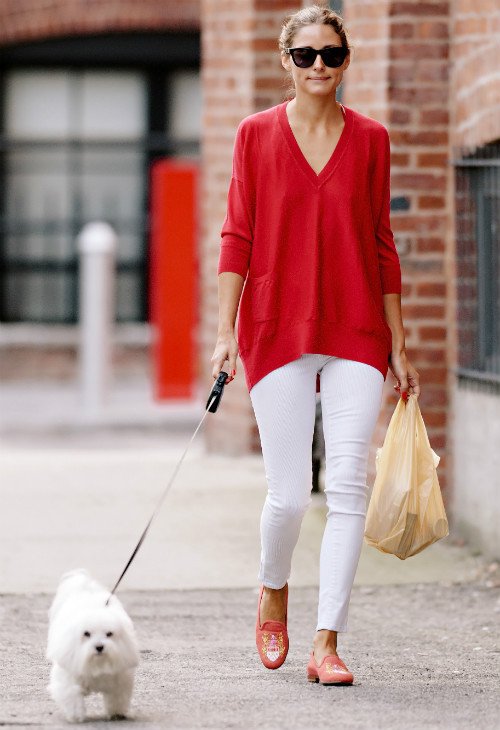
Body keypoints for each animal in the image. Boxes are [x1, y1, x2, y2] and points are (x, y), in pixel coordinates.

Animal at [46, 568, 140, 724]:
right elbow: (72, 696)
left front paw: (117, 713)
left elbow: (117, 697)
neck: (97, 664)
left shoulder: (120, 679)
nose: (99, 647)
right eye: (86, 634)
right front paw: (76, 716)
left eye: (109, 634)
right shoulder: (69, 679)